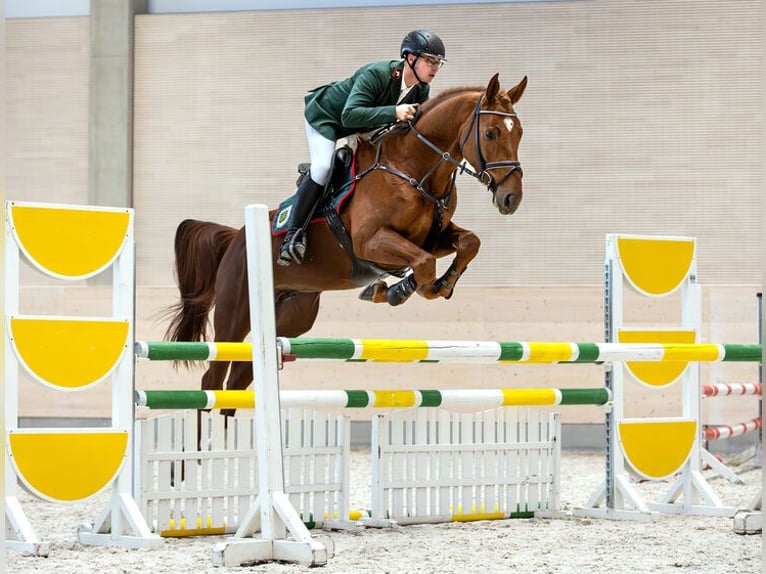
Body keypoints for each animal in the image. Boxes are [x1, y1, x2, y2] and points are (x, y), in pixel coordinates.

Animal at [164, 73, 527, 413]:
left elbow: (468, 243)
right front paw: (400, 289)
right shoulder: (370, 242)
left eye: (520, 133)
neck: (412, 169)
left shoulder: (434, 237)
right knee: (212, 379)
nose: (511, 199)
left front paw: (432, 284)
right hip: (235, 313)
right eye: (491, 133)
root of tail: (236, 237)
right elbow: (424, 265)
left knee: (238, 380)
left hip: (292, 315)